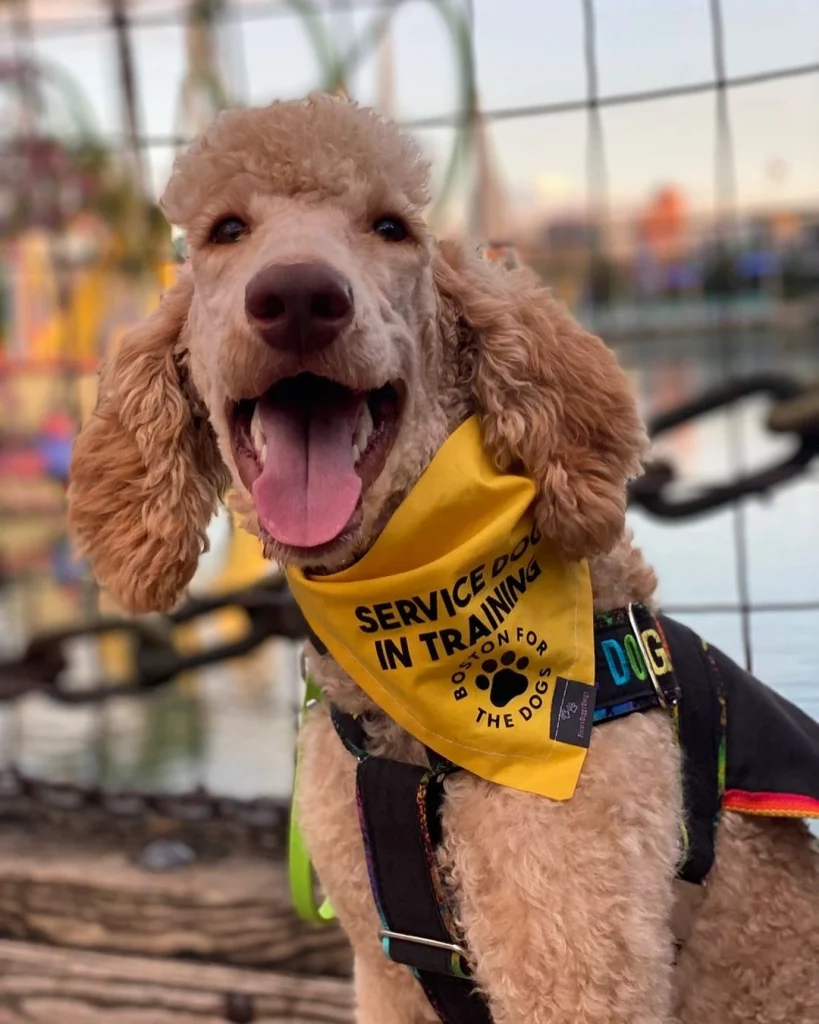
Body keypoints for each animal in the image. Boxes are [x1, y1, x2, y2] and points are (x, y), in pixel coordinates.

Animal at [68, 94, 818, 1015]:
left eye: (391, 228)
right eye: (224, 230)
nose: (298, 296)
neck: (408, 728)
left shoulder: (574, 956)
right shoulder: (383, 963)